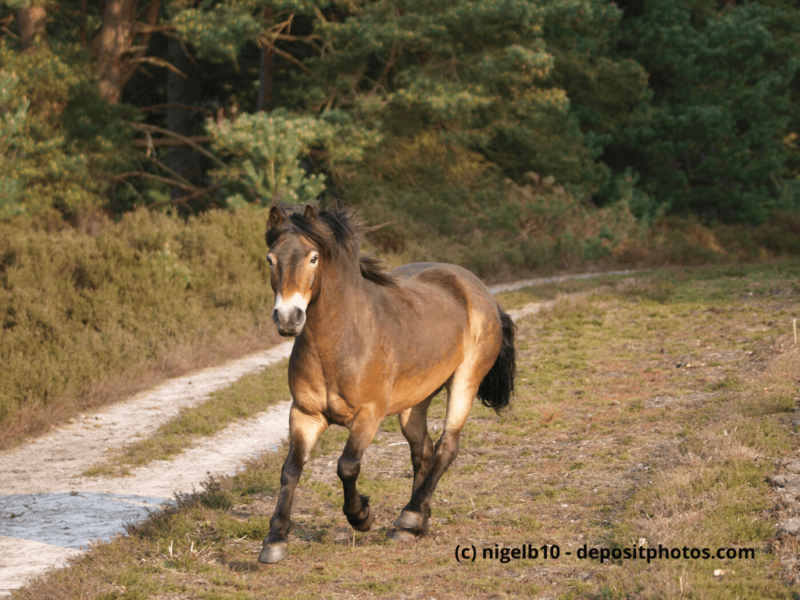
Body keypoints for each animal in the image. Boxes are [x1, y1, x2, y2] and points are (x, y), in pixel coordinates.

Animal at [258, 203, 516, 564]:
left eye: (313, 258)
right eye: (270, 259)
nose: (288, 318)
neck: (339, 342)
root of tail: (478, 288)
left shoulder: (369, 414)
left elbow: (347, 466)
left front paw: (361, 516)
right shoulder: (305, 415)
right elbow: (290, 470)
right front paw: (275, 540)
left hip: (465, 380)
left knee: (447, 447)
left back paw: (409, 517)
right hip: (415, 402)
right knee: (423, 451)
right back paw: (416, 523)